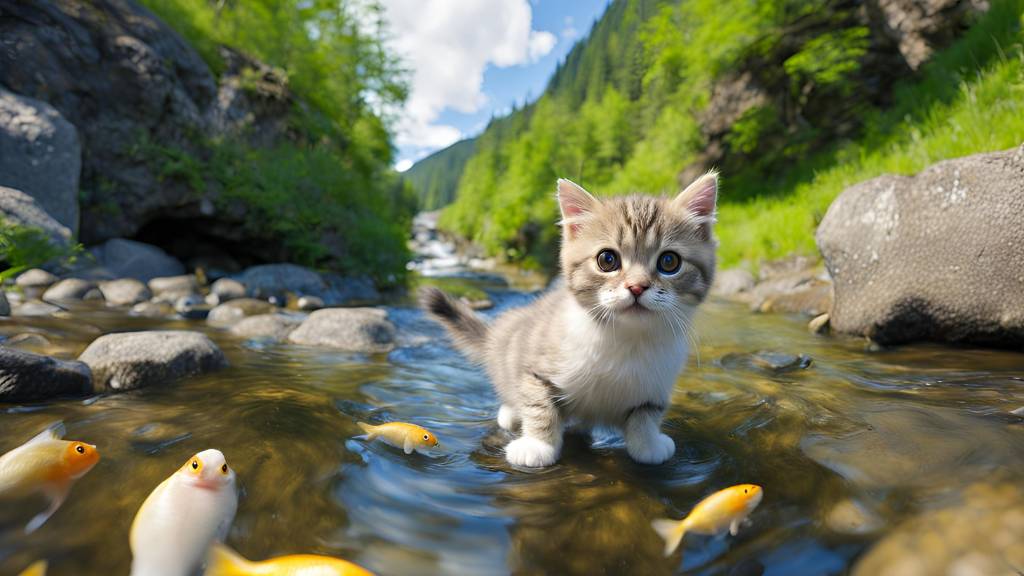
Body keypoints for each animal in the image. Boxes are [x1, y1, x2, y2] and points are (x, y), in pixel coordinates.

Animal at [419, 171, 716, 467]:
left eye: (669, 262)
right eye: (607, 260)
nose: (637, 287)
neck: (626, 338)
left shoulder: (657, 385)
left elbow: (646, 415)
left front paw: (648, 443)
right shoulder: (536, 366)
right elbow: (539, 405)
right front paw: (537, 445)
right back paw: (511, 413)